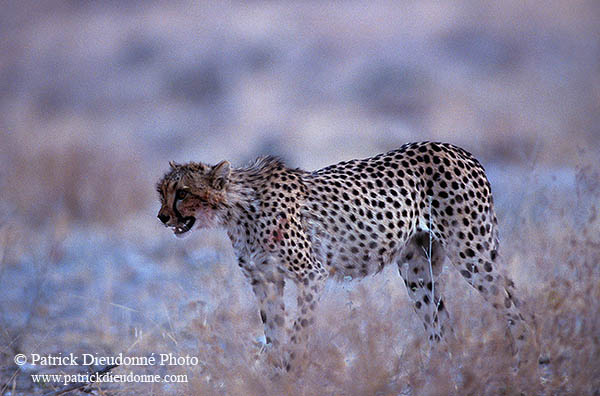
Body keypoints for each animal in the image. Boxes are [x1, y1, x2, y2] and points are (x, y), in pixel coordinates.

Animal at [158, 142, 528, 372]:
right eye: (161, 193)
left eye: (184, 193)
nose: (162, 217)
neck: (238, 209)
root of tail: (457, 149)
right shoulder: (265, 281)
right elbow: (274, 332)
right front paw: (273, 374)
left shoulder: (311, 274)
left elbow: (298, 331)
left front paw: (291, 371)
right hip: (418, 268)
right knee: (441, 324)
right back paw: (441, 371)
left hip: (472, 252)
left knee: (514, 305)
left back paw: (527, 357)